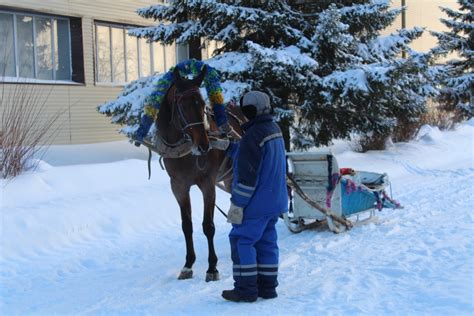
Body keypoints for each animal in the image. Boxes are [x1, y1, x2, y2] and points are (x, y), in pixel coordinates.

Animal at [156, 65, 244, 280]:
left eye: (203, 104)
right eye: (183, 105)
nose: (204, 145)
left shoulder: (207, 183)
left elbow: (208, 226)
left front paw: (212, 267)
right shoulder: (178, 186)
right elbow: (186, 226)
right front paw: (188, 264)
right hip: (230, 178)